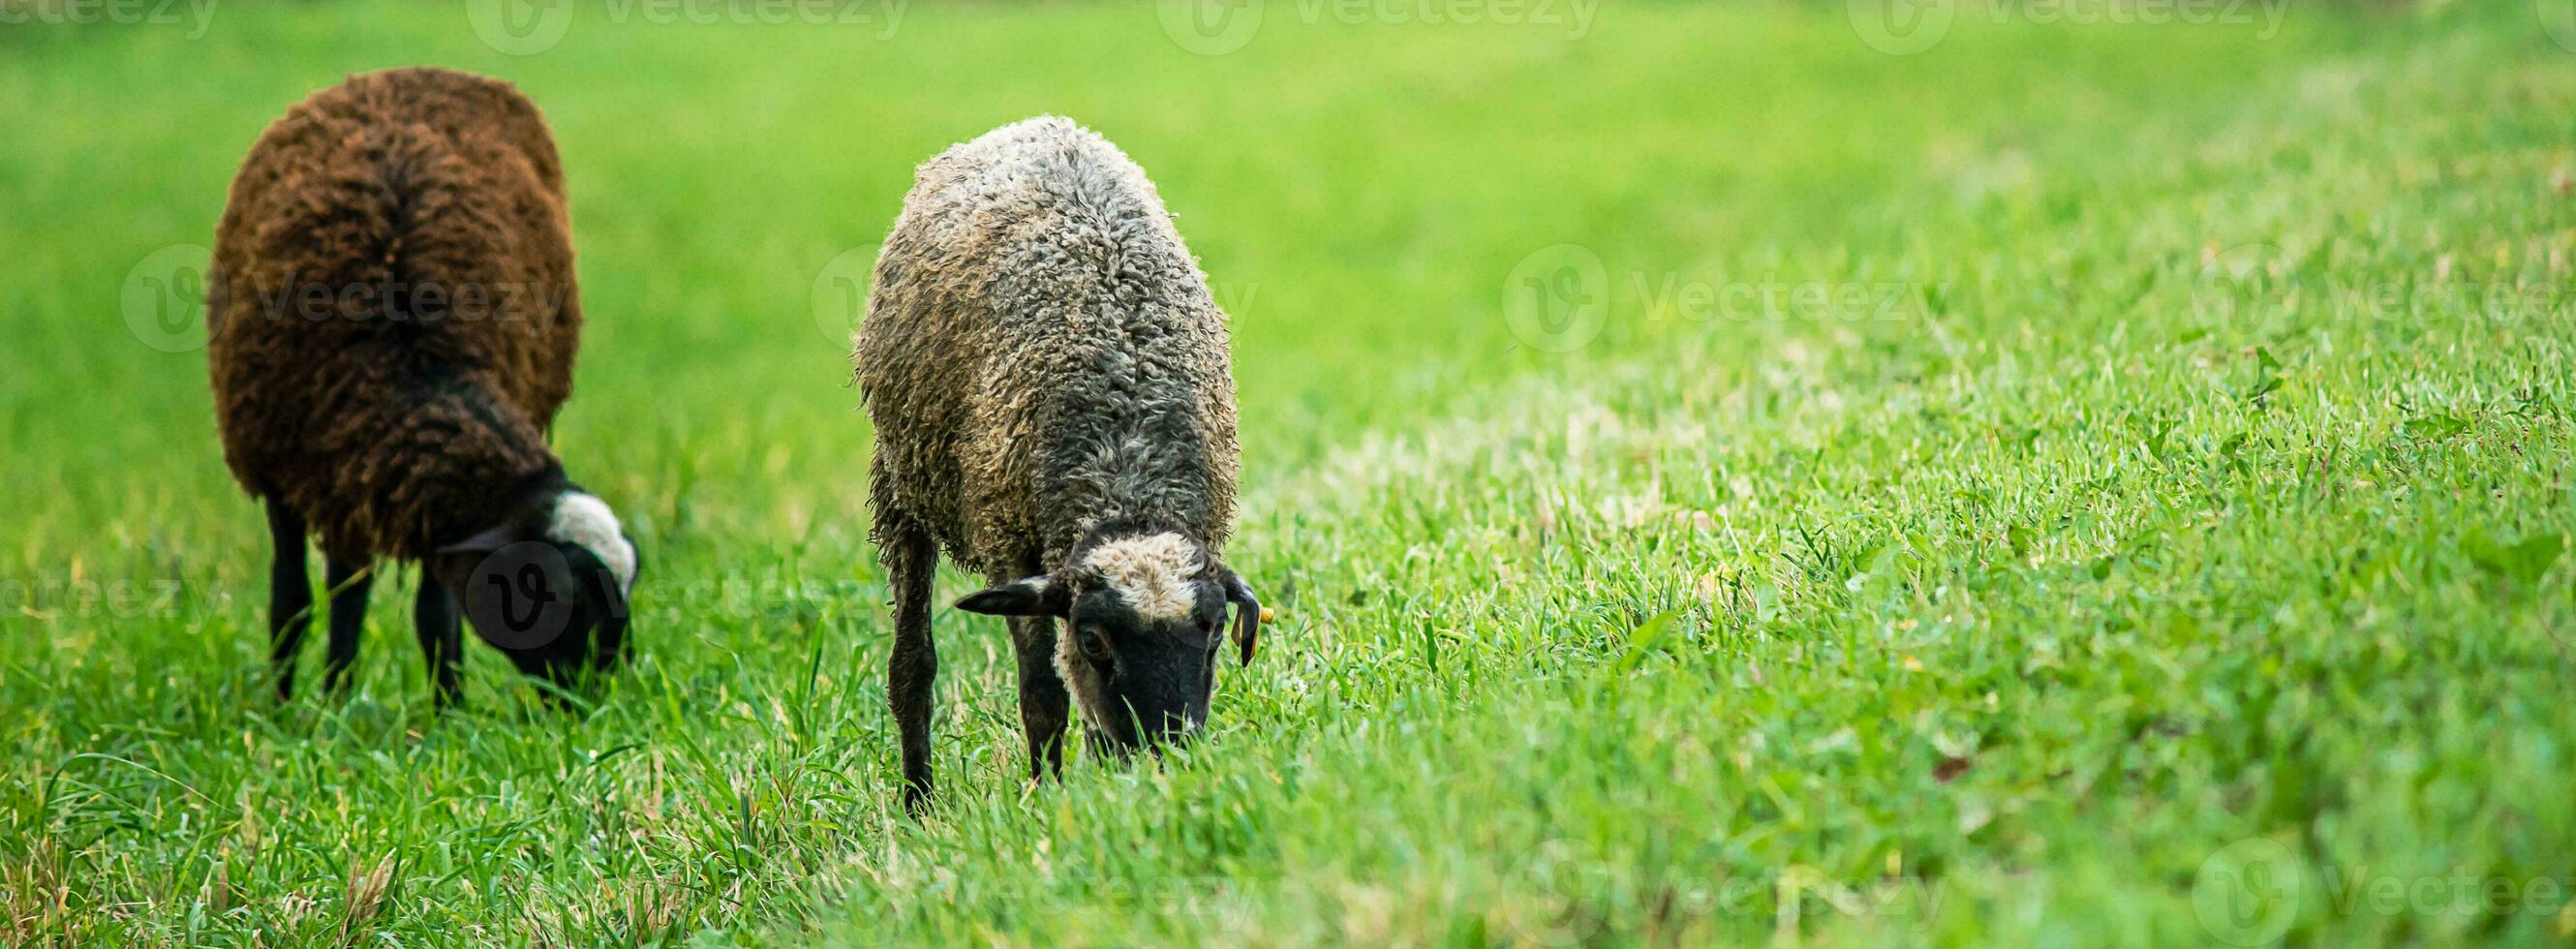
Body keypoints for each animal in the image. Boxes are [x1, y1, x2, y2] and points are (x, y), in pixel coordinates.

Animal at [205, 66, 638, 706]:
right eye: (551, 591)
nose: (598, 700)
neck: (407, 358)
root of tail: (402, 74)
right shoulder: (281, 472)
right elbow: (292, 603)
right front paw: (290, 710)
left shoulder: (425, 505)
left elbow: (433, 614)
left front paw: (447, 713)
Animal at [855, 112, 1267, 810]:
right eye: (1094, 640)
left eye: (1214, 631)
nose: (1166, 756)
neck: (1125, 466)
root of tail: (1034, 124)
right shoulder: (1008, 541)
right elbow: (1042, 693)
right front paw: (1046, 796)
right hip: (901, 486)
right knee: (911, 665)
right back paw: (917, 806)